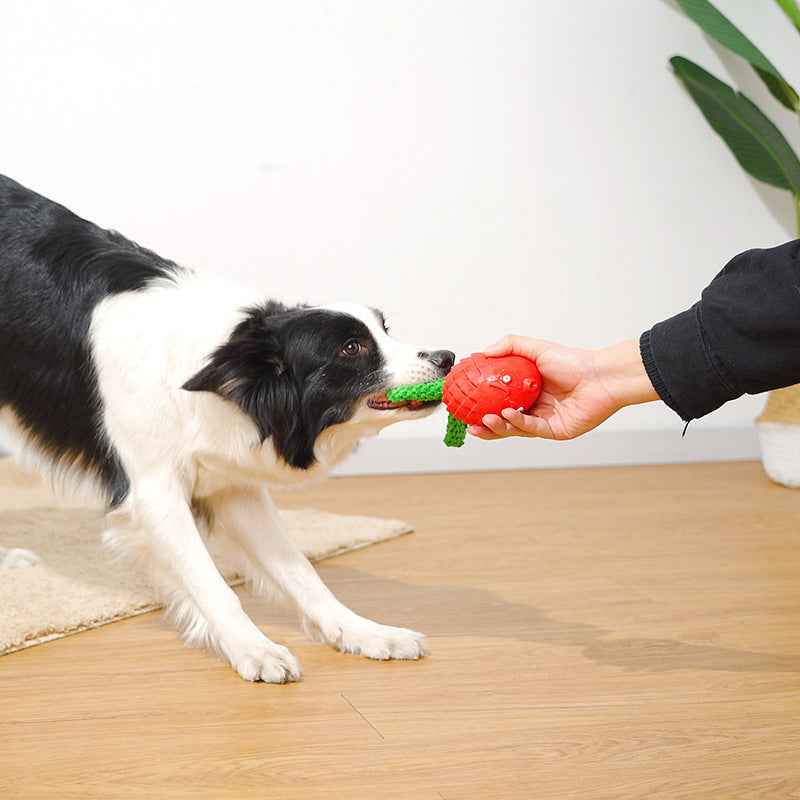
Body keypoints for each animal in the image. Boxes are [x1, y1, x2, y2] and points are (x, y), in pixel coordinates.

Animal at [0, 175, 454, 680]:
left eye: (385, 330)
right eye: (352, 348)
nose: (448, 358)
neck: (211, 366)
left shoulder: (231, 485)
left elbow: (301, 570)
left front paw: (362, 632)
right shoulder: (152, 492)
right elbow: (211, 583)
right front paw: (253, 648)